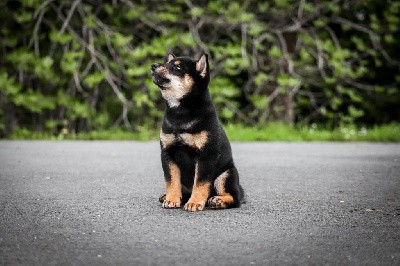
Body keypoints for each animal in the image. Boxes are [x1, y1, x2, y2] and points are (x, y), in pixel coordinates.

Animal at [151, 53, 242, 212]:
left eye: (177, 67)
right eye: (167, 63)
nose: (154, 66)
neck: (180, 113)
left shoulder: (206, 154)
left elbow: (200, 182)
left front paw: (195, 203)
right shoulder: (167, 153)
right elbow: (171, 181)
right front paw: (171, 199)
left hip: (226, 175)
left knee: (235, 198)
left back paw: (218, 200)